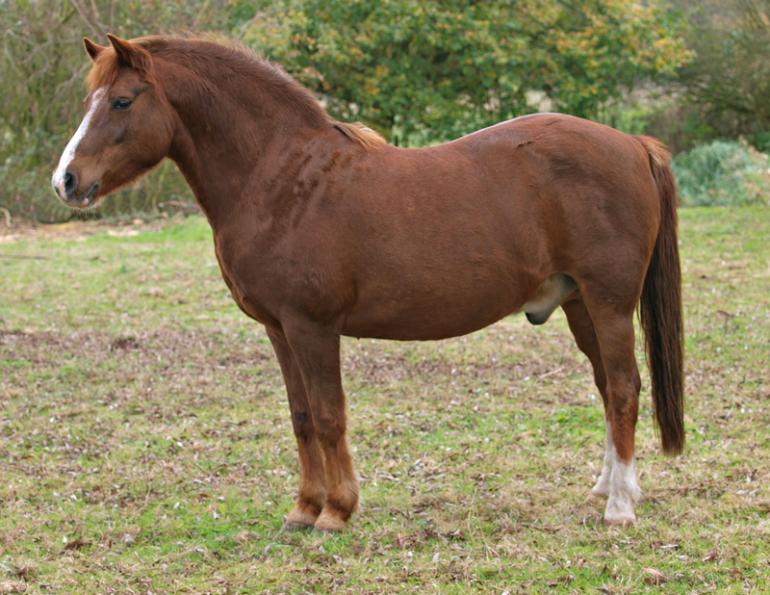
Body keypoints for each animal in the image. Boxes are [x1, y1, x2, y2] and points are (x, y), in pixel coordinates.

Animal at [52, 34, 684, 531]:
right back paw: (606, 489)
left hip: (608, 303)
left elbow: (330, 415)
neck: (284, 179)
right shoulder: (279, 330)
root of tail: (634, 145)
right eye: (88, 100)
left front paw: (337, 511)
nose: (66, 180)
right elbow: (302, 416)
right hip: (580, 304)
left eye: (122, 100)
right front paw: (303, 510)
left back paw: (620, 508)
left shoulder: (312, 327)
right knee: (607, 387)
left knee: (624, 389)